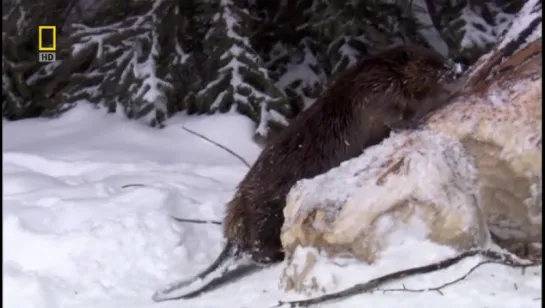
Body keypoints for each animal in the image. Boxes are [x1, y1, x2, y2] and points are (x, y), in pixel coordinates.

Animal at [152, 44, 460, 300]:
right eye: (432, 61)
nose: (454, 67)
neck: (383, 72)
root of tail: (233, 238)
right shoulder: (377, 94)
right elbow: (396, 114)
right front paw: (416, 121)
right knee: (261, 251)